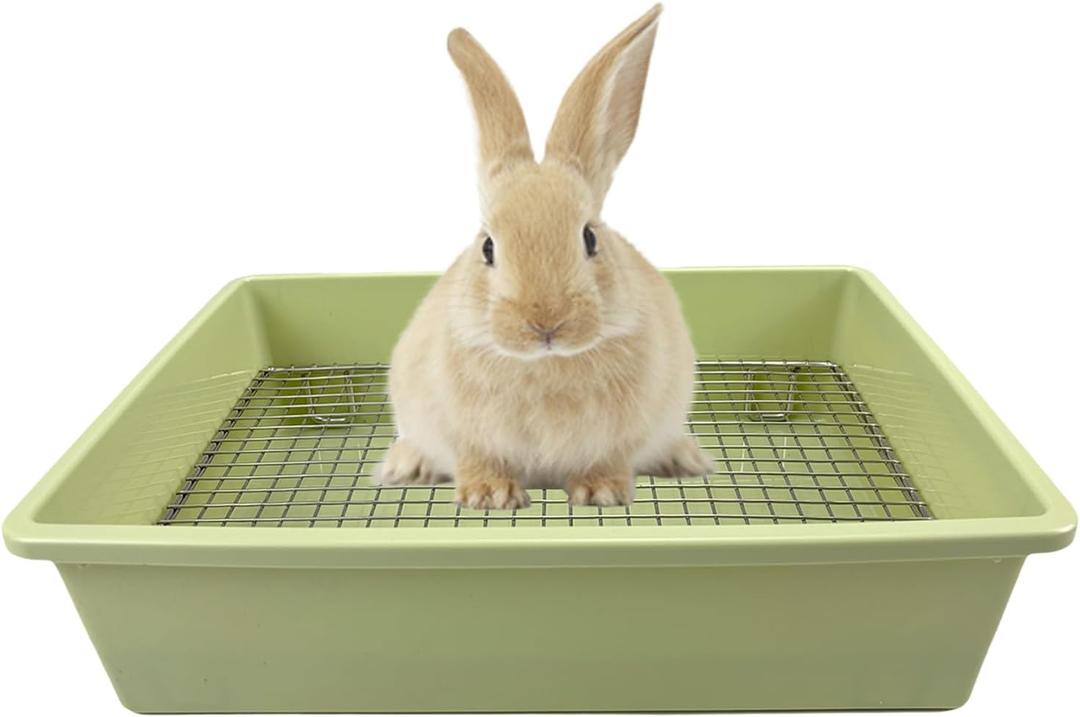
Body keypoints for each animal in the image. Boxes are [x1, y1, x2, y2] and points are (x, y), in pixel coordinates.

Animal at [378, 4, 712, 509]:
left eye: (590, 238)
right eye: (488, 246)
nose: (546, 322)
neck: (544, 364)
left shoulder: (622, 436)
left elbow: (608, 460)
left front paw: (601, 494)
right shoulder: (464, 432)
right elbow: (477, 458)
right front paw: (489, 497)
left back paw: (685, 459)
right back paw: (405, 465)